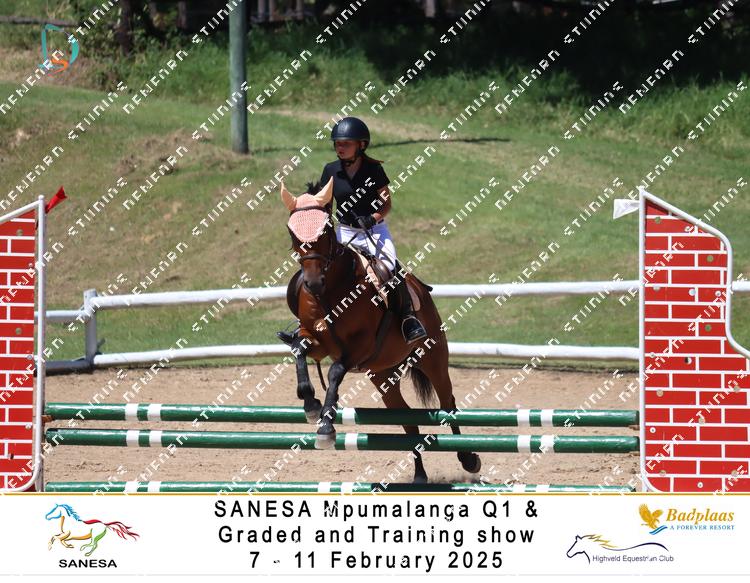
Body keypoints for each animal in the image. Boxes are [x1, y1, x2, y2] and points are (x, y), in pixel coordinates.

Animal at [278, 176, 481, 483]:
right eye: (292, 232)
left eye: (325, 229)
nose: (313, 283)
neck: (331, 292)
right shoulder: (317, 340)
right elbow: (300, 350)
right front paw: (310, 404)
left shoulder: (361, 346)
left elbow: (335, 371)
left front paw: (325, 429)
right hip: (383, 375)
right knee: (407, 421)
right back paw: (419, 475)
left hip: (432, 358)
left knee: (448, 403)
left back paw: (468, 458)